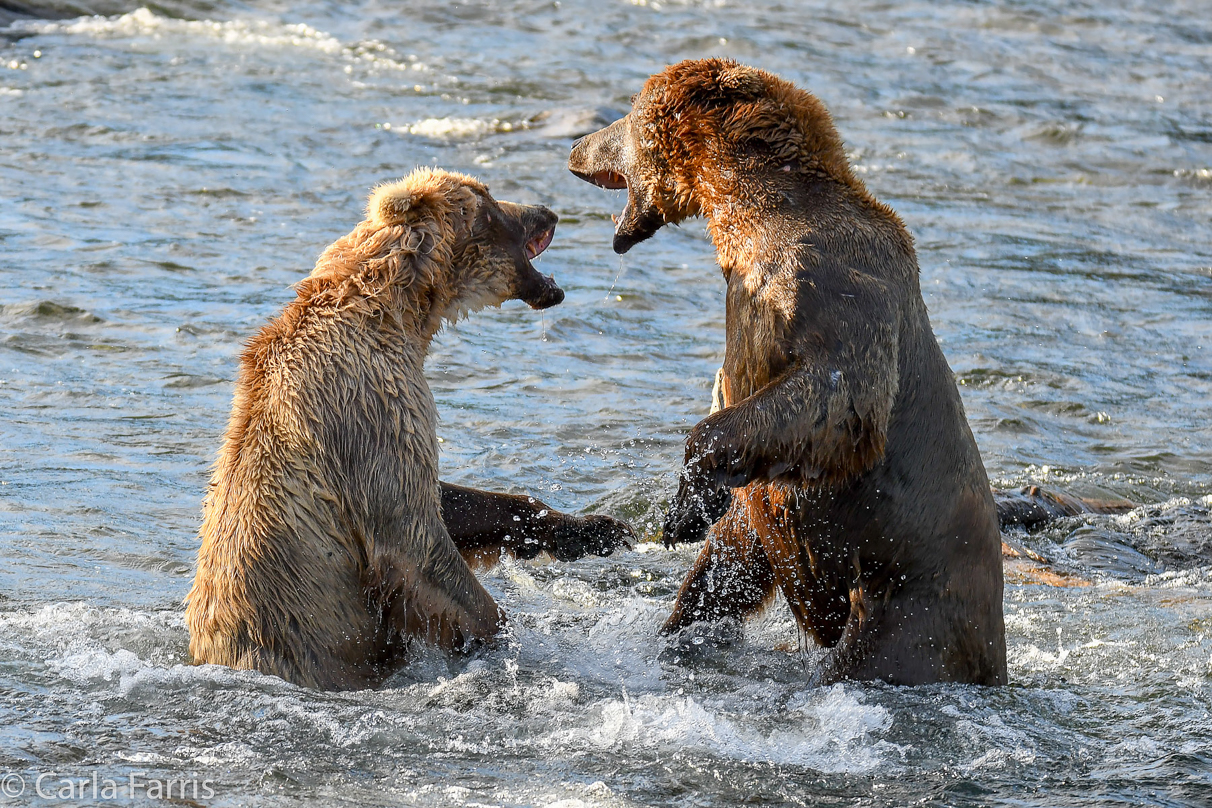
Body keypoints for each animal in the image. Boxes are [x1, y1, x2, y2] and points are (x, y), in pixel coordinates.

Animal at [186, 169, 635, 688]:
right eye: (488, 201)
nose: (547, 212)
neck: (403, 311)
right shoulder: (371, 406)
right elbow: (413, 540)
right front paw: (506, 637)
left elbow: (450, 499)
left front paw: (596, 529)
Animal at [572, 59, 1008, 688]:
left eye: (627, 114)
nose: (576, 148)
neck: (747, 217)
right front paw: (686, 512)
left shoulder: (822, 283)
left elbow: (839, 393)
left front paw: (690, 488)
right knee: (724, 571)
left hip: (913, 606)